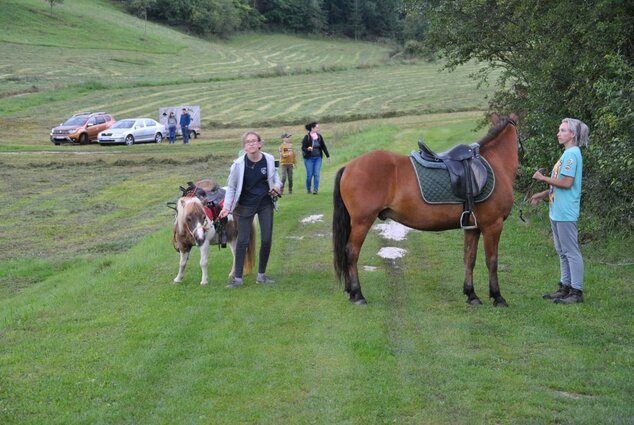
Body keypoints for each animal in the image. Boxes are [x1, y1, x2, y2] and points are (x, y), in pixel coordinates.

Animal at [334, 112, 516, 304]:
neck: (496, 164)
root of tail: (348, 167)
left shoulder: (473, 228)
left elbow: (469, 258)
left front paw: (471, 294)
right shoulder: (493, 225)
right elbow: (492, 261)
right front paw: (497, 297)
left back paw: (351, 291)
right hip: (362, 222)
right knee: (351, 252)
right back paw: (358, 294)